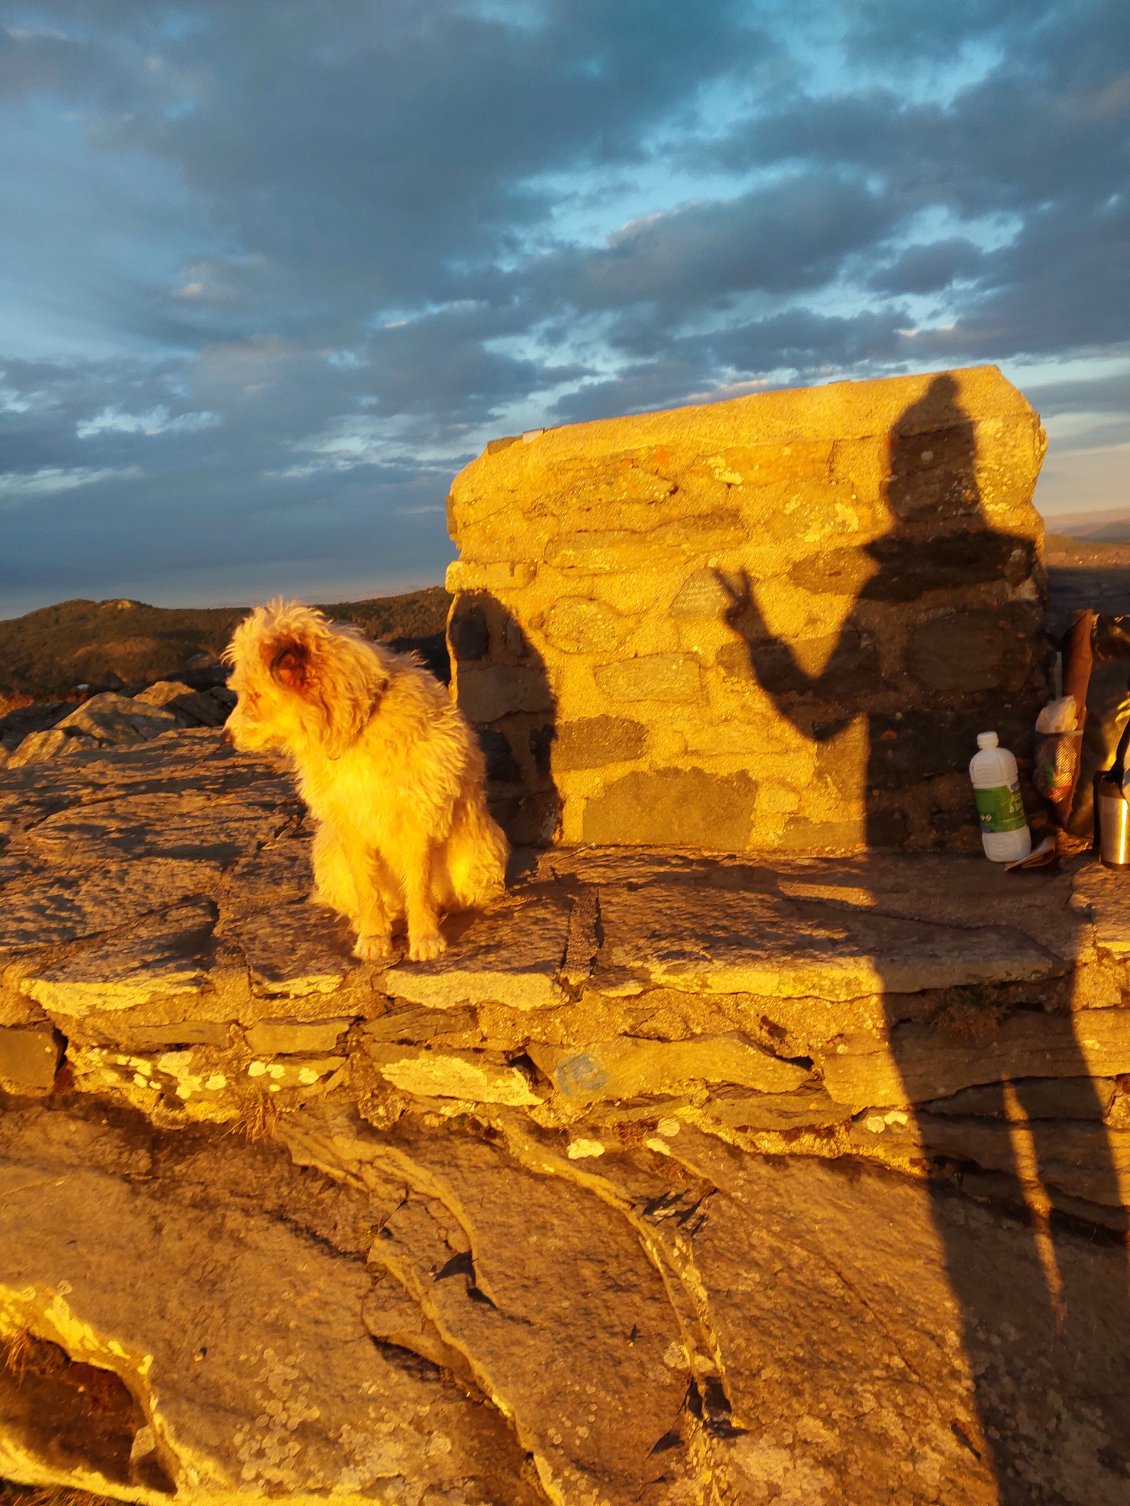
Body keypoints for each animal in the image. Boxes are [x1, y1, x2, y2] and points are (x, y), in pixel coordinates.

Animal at [226, 602, 509, 963]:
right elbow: (366, 887)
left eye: (255, 695)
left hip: (479, 856)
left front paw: (425, 936)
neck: (356, 728)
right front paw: (373, 936)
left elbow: (419, 886)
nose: (225, 736)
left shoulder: (416, 818)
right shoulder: (349, 824)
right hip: (328, 854)